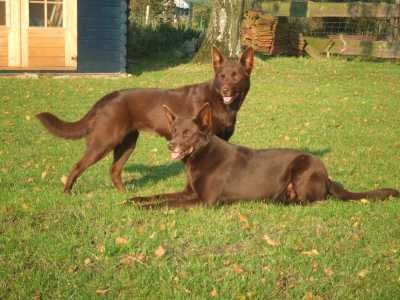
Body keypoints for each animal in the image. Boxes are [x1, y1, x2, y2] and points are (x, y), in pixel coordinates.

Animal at [38, 46, 256, 192]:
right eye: (221, 76)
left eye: (236, 76)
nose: (226, 90)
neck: (219, 102)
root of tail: (107, 98)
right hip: (103, 142)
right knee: (78, 166)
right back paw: (67, 193)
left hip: (127, 143)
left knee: (114, 171)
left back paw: (124, 195)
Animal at [130, 103, 398, 209]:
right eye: (173, 132)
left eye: (187, 133)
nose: (171, 145)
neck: (201, 155)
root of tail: (327, 176)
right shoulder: (189, 193)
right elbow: (160, 196)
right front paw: (135, 200)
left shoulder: (204, 201)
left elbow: (165, 203)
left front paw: (144, 208)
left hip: (302, 166)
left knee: (307, 201)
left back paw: (276, 200)